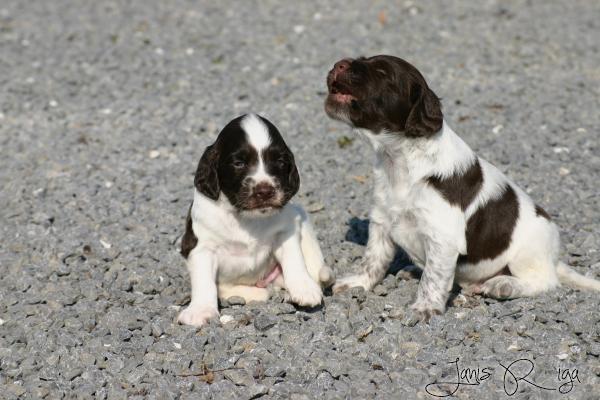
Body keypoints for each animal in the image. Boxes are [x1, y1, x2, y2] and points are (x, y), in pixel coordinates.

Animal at [178, 114, 333, 327]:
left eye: (280, 161)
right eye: (238, 163)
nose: (265, 191)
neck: (246, 217)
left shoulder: (286, 231)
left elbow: (294, 260)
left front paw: (304, 288)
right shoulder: (201, 246)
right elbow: (204, 282)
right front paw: (200, 311)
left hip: (303, 222)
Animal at [324, 55, 600, 321]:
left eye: (383, 73)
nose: (339, 64)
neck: (402, 161)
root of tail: (554, 259)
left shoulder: (443, 237)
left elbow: (433, 277)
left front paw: (425, 308)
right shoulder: (382, 220)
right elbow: (373, 260)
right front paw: (358, 283)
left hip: (527, 252)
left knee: (545, 281)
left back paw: (504, 285)